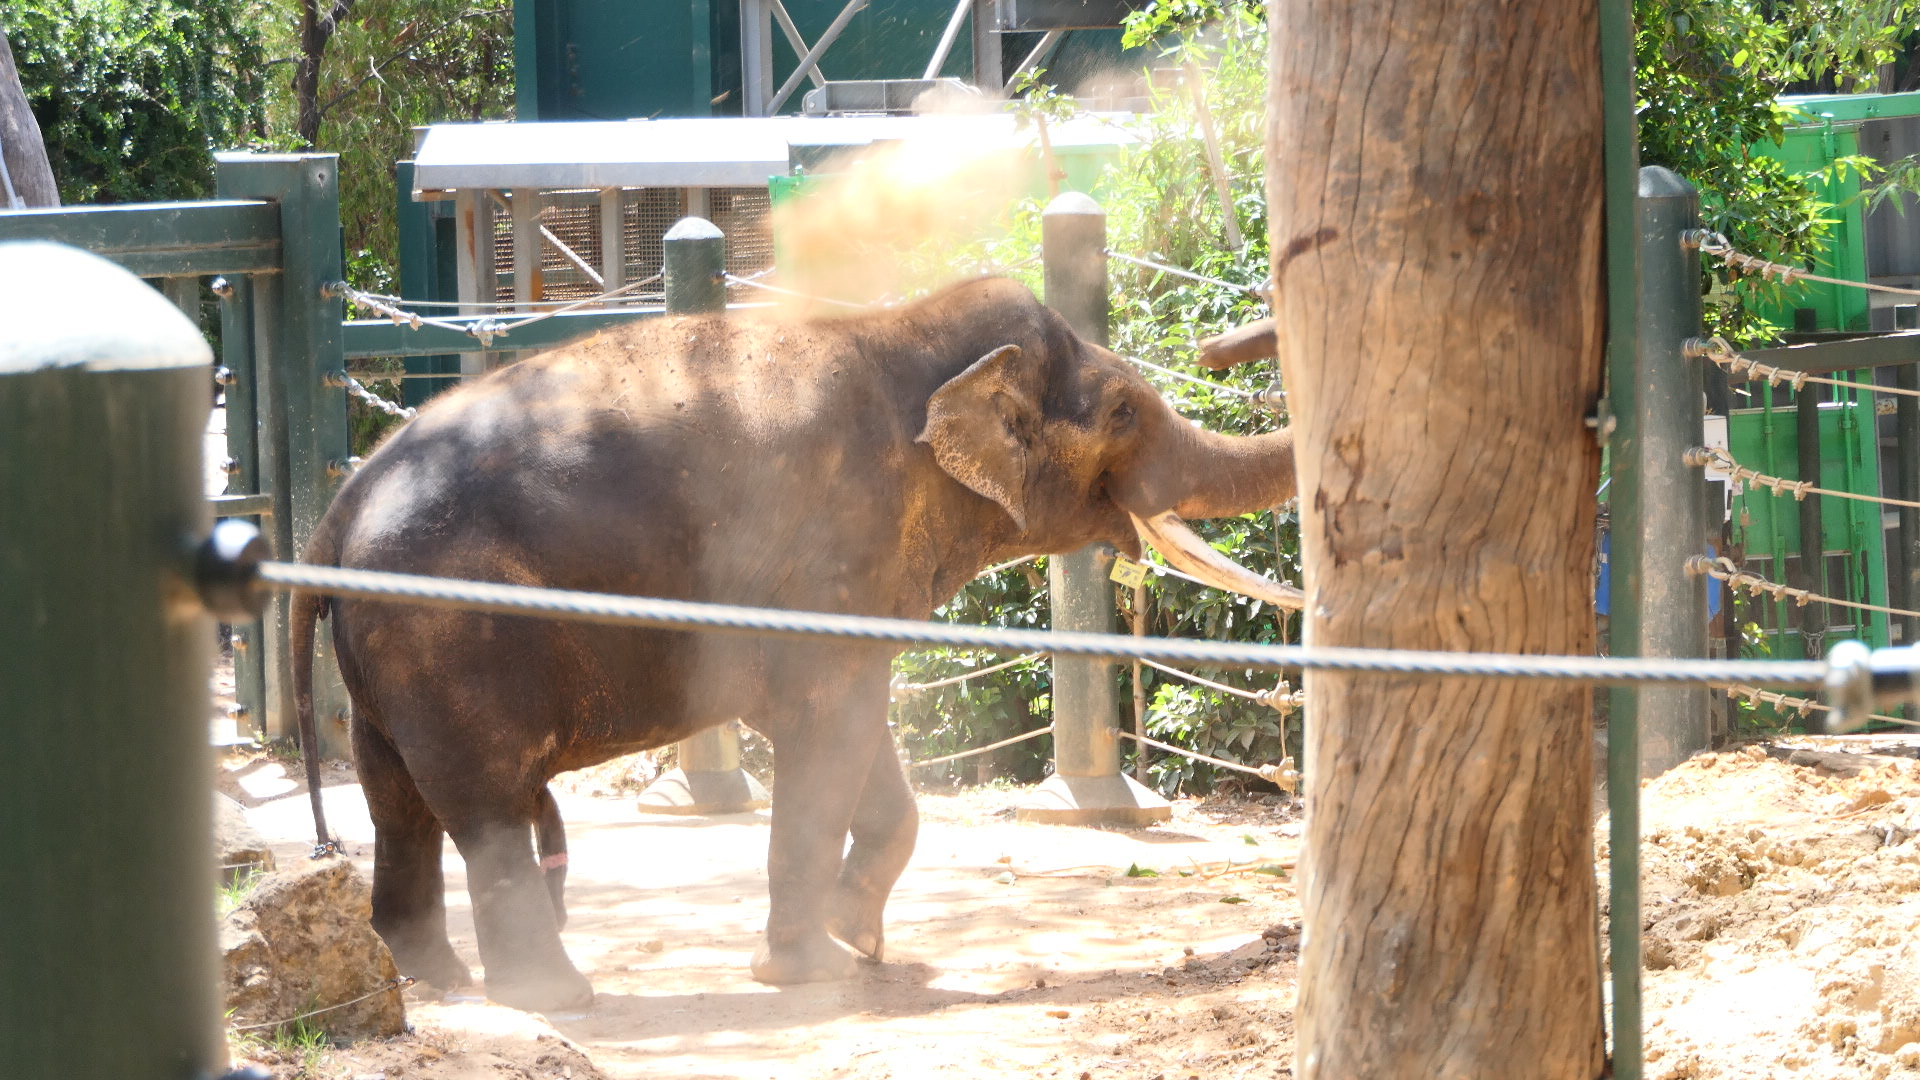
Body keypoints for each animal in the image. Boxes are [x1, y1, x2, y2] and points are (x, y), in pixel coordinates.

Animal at [290, 276, 1300, 1012]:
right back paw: (554, 998)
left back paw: (433, 977)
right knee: (485, 802)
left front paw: (861, 940)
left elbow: (861, 743)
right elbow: (830, 733)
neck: (904, 332)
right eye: (1124, 412)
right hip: (451, 640)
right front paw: (815, 972)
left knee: (396, 799)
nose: (1226, 345)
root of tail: (339, 507)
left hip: (389, 653)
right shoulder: (834, 552)